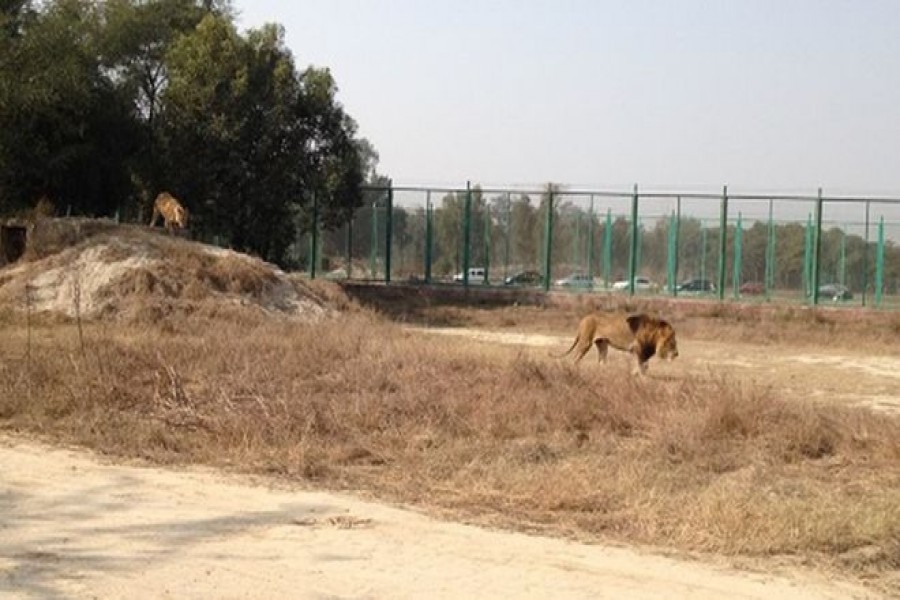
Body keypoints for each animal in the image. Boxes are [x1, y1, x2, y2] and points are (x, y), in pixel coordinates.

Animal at [552, 312, 680, 372]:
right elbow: (642, 366)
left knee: (601, 361)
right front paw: (639, 376)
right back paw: (574, 370)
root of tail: (583, 319)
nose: (677, 354)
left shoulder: (644, 351)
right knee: (576, 358)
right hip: (586, 342)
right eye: (672, 341)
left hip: (602, 344)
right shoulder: (638, 348)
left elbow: (645, 365)